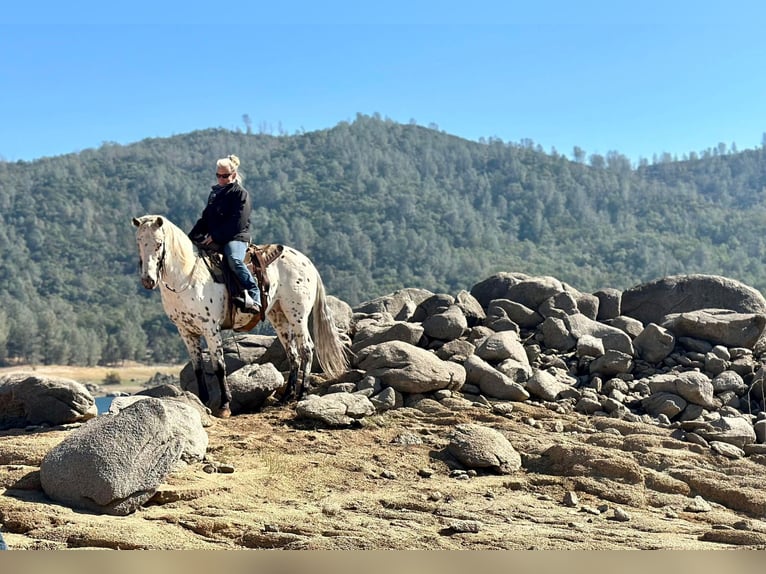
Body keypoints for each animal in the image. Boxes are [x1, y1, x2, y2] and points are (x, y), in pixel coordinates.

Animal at [132, 214, 348, 416]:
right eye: (139, 242)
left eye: (159, 243)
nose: (148, 280)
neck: (187, 278)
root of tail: (307, 261)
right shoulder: (185, 331)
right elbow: (198, 368)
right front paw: (202, 401)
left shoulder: (210, 329)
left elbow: (219, 367)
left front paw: (224, 406)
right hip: (278, 316)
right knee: (293, 353)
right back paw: (286, 396)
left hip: (297, 314)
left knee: (307, 349)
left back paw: (302, 393)